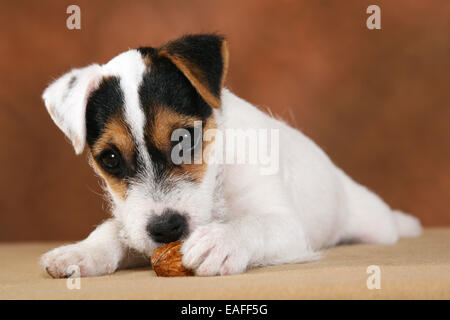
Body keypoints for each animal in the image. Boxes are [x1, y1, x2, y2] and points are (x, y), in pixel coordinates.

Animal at [39, 33, 422, 276]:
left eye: (184, 139)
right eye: (111, 159)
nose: (166, 228)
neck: (216, 184)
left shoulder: (288, 227)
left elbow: (254, 223)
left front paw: (222, 240)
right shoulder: (136, 226)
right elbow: (116, 230)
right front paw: (83, 251)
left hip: (373, 223)